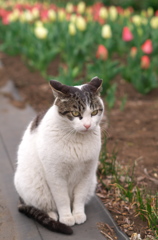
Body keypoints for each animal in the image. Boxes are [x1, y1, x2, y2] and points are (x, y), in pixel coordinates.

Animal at [14, 76, 104, 234]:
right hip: (34, 187)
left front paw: (78, 214)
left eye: (94, 113)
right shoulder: (55, 175)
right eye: (75, 114)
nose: (87, 125)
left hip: (92, 183)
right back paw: (51, 215)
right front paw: (67, 217)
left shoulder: (87, 173)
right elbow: (62, 199)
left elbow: (79, 197)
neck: (77, 140)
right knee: (39, 205)